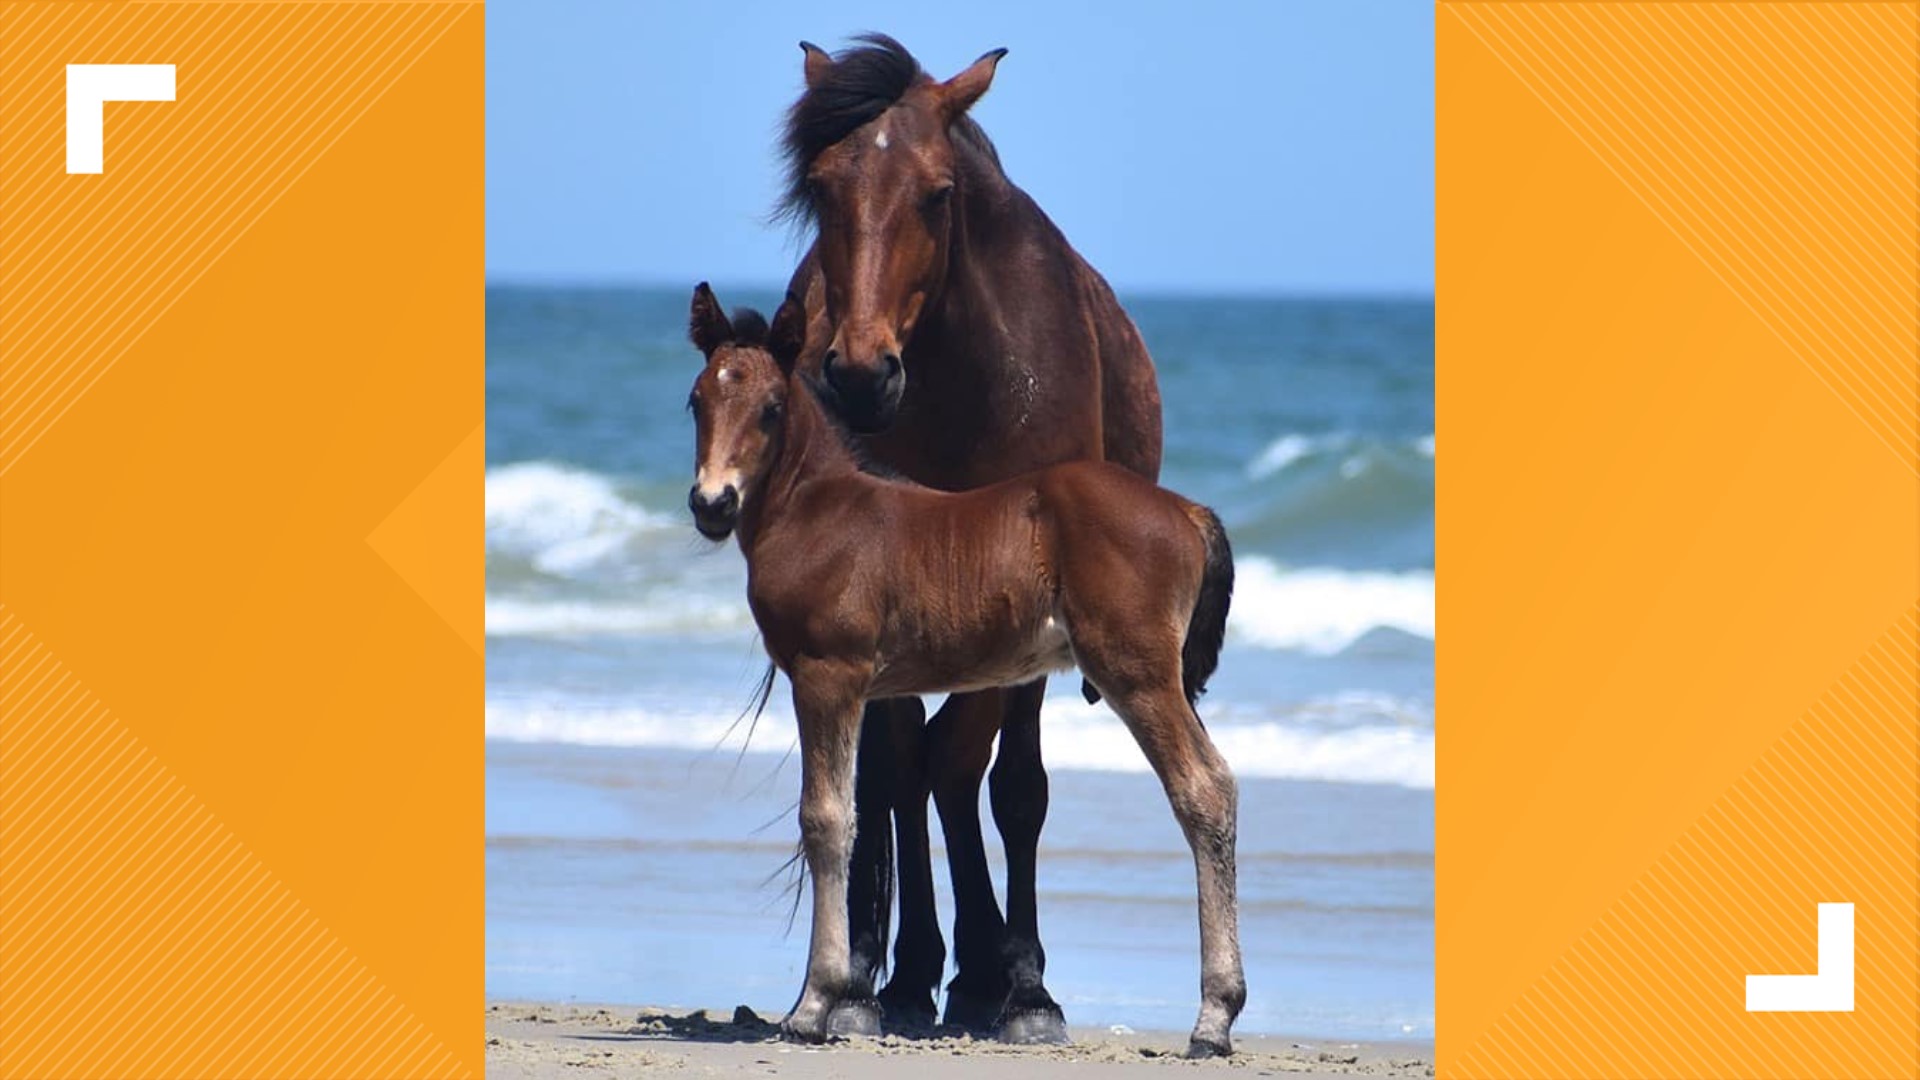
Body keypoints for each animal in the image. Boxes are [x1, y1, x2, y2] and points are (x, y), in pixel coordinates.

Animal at [685, 285, 1245, 1058]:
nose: (712, 503)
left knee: (1203, 790)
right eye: (697, 400)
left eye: (771, 408)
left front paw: (813, 1006)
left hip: (1136, 670)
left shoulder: (828, 674)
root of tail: (1186, 511)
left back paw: (1214, 1018)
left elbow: (826, 819)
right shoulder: (864, 688)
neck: (818, 510)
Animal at [775, 34, 1167, 1043]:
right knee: (911, 772)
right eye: (821, 188)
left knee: (972, 773)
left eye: (937, 192)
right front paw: (880, 978)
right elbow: (899, 772)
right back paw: (912, 973)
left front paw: (1019, 986)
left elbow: (1005, 783)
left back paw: (987, 974)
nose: (859, 372)